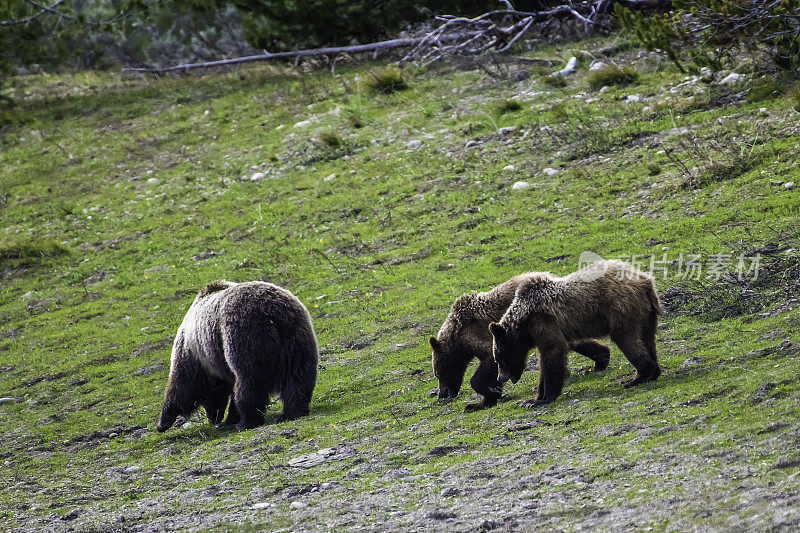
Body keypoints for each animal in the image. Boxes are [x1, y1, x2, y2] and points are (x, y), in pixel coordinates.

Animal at [156, 280, 318, 430]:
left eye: (208, 400)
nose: (214, 418)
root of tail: (272, 311)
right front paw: (230, 418)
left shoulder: (193, 354)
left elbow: (185, 386)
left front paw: (163, 421)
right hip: (295, 338)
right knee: (297, 375)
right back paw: (292, 412)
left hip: (244, 336)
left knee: (249, 381)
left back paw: (247, 422)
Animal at [432, 274, 612, 412]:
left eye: (439, 373)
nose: (442, 394)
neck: (456, 338)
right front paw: (482, 401)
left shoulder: (474, 335)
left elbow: (489, 358)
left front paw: (490, 393)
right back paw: (601, 358)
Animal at [488, 260, 664, 406]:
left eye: (499, 359)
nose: (499, 377)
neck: (524, 321)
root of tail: (644, 280)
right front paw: (536, 397)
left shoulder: (543, 320)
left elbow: (553, 351)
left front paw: (541, 399)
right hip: (646, 313)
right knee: (647, 338)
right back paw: (653, 372)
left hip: (621, 306)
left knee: (626, 338)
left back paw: (637, 378)